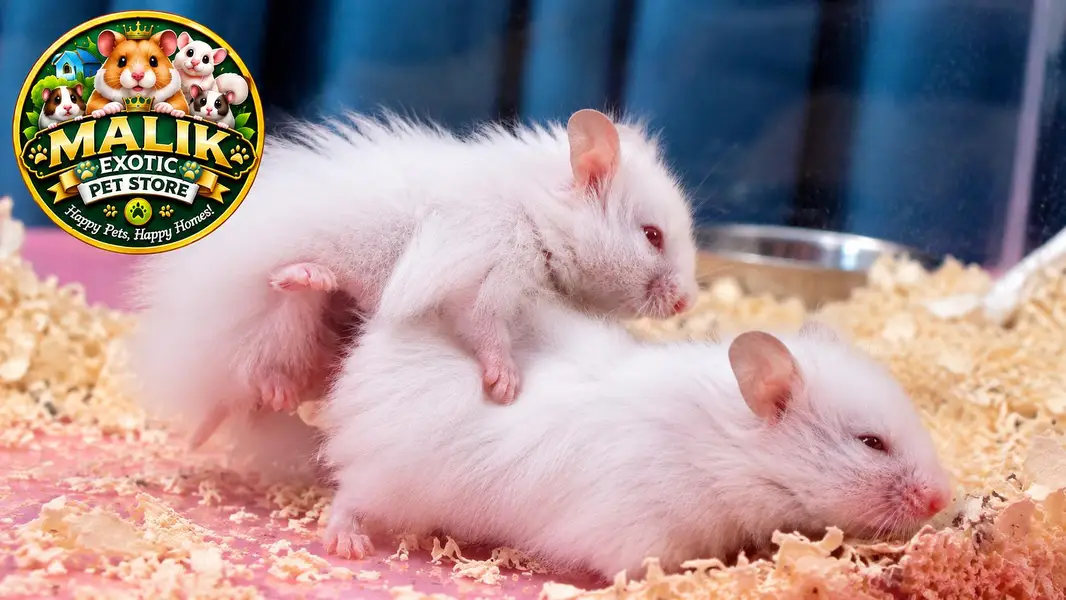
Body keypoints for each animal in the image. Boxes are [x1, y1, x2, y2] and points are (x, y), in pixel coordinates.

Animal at [127, 109, 699, 457]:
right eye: (652, 236)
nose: (686, 304)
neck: (538, 219)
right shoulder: (483, 275)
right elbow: (486, 330)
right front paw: (505, 388)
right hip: (262, 320)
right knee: (260, 362)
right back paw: (303, 284)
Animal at [320, 303, 953, 579]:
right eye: (871, 443)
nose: (943, 498)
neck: (725, 454)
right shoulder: (639, 531)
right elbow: (645, 572)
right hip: (389, 480)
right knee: (346, 499)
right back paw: (347, 544)